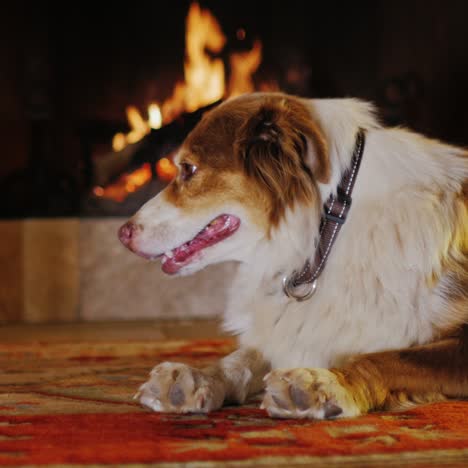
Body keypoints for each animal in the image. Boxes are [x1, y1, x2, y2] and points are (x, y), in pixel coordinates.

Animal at [118, 93, 468, 418]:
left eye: (188, 169)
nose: (122, 233)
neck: (328, 230)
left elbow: (387, 357)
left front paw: (323, 385)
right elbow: (242, 357)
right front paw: (195, 378)